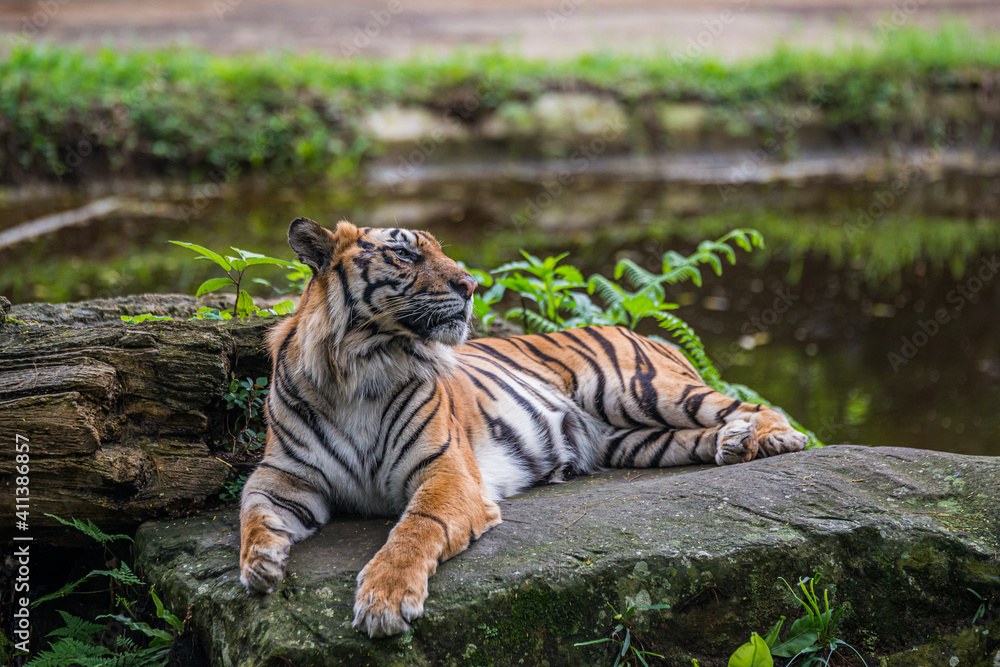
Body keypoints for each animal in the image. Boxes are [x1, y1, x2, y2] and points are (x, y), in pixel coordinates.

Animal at [239, 217, 808, 638]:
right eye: (405, 254)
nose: (470, 285)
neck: (363, 366)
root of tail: (644, 331)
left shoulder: (447, 471)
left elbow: (414, 530)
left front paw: (385, 600)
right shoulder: (282, 474)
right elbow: (254, 514)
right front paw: (261, 564)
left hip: (637, 388)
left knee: (752, 405)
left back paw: (774, 437)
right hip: (630, 440)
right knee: (697, 433)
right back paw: (733, 444)